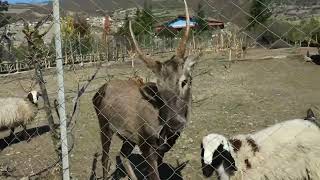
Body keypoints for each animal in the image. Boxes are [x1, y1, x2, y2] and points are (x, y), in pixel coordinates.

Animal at [91, 0, 200, 179]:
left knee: (122, 155)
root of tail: (98, 91)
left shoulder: (161, 148)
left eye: (185, 81)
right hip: (104, 124)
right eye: (159, 87)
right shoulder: (145, 143)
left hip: (128, 136)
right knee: (105, 159)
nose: (174, 122)